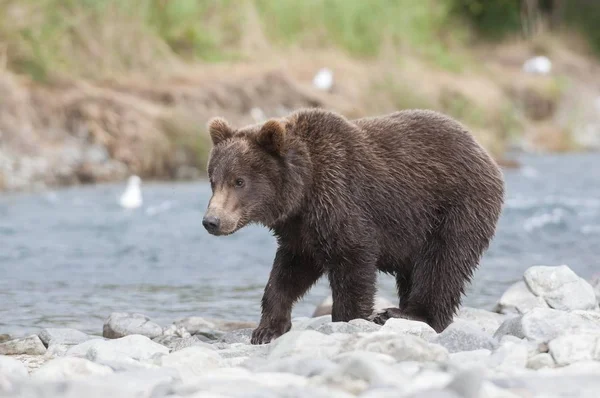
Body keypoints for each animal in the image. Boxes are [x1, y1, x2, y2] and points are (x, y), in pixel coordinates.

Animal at [204, 108, 504, 346]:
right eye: (213, 180)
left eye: (239, 181)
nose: (211, 221)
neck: (304, 191)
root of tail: (483, 151)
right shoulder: (300, 231)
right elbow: (288, 273)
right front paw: (266, 329)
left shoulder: (342, 202)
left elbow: (353, 264)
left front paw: (347, 320)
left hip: (454, 207)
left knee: (443, 263)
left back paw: (405, 313)